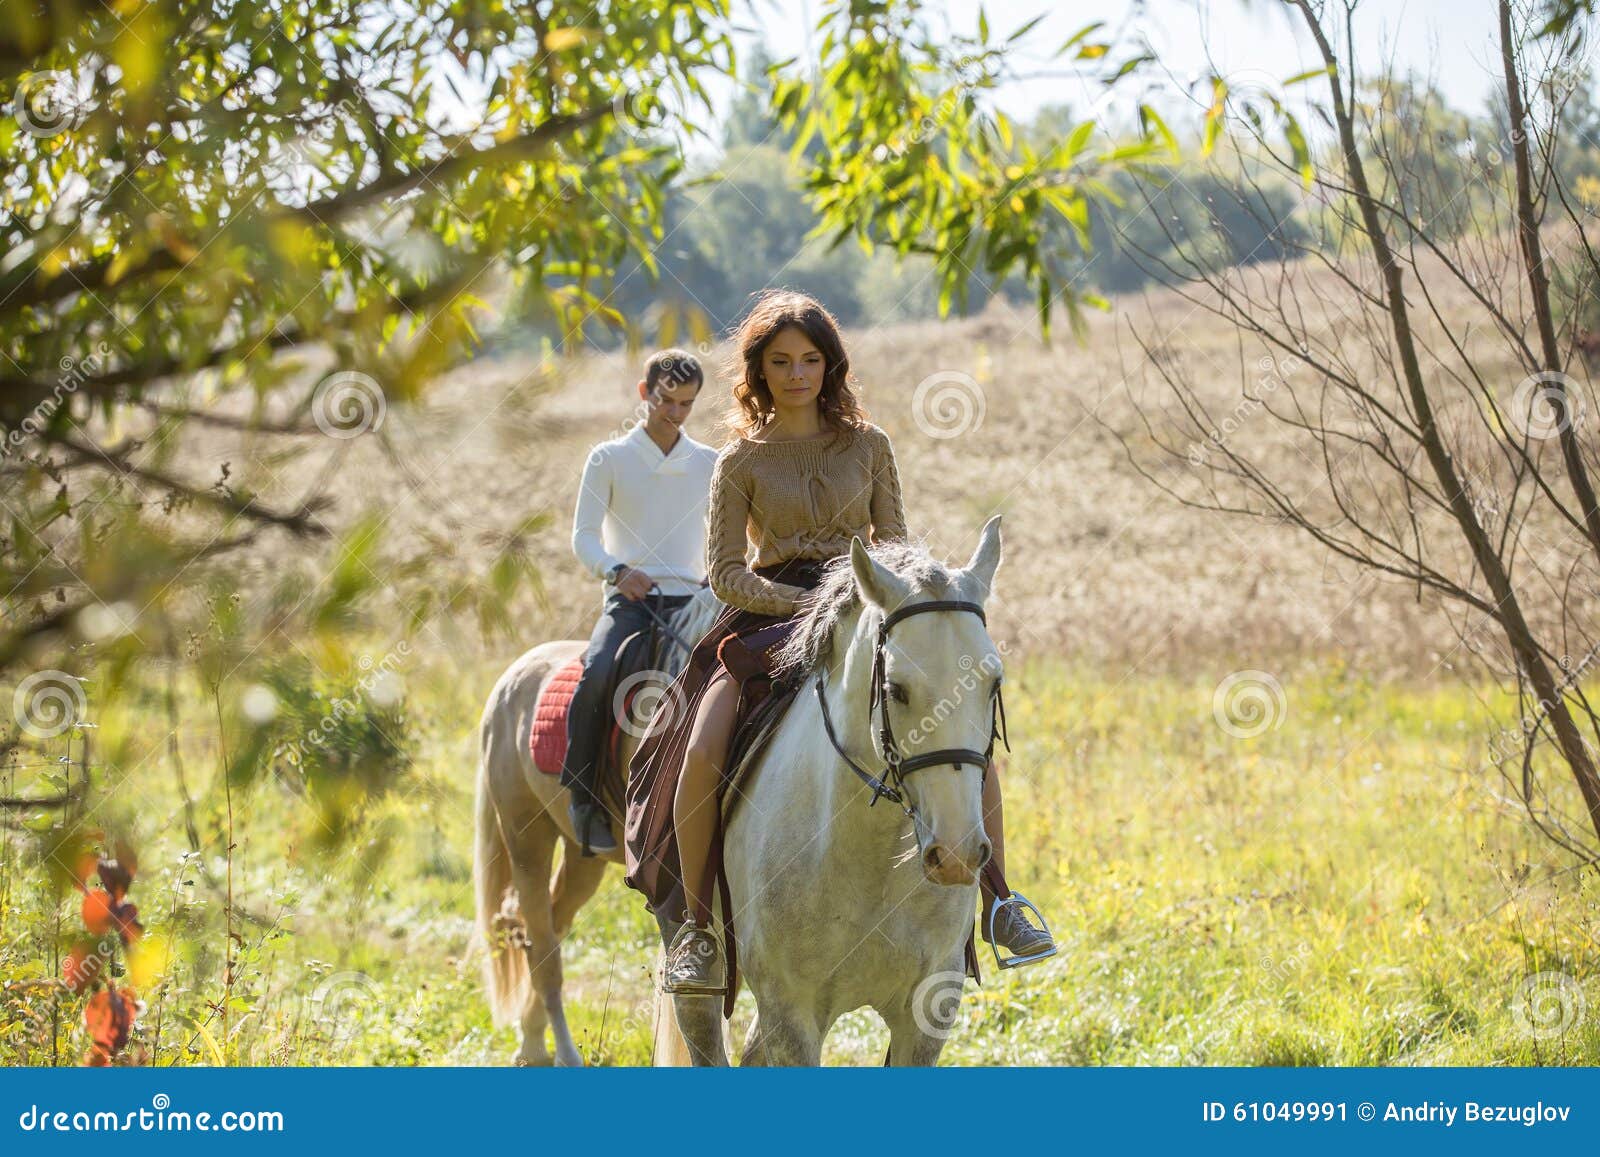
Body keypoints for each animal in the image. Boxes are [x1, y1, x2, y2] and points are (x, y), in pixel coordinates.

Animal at [470, 588, 723, 1068]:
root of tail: (511, 678)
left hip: (581, 860)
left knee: (547, 926)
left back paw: (532, 1042)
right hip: (526, 839)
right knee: (543, 945)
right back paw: (563, 1052)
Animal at [656, 515, 1004, 1068]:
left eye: (993, 684)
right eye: (896, 689)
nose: (956, 855)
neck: (871, 855)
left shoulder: (927, 1012)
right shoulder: (792, 1014)